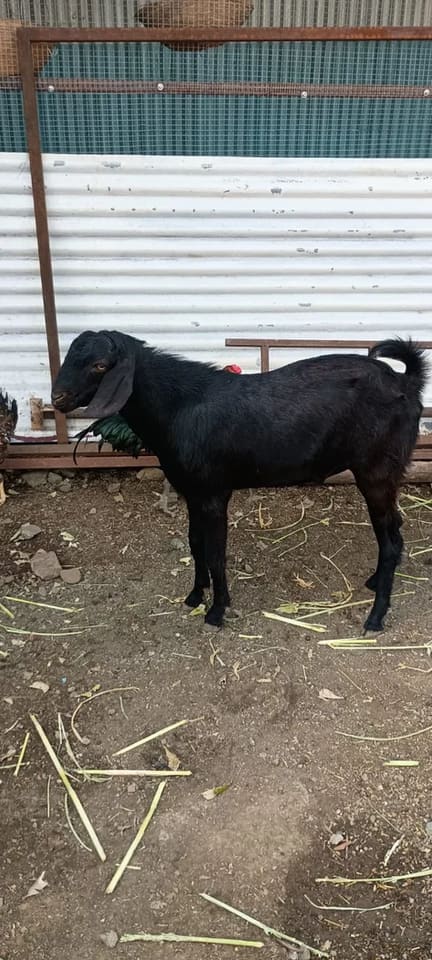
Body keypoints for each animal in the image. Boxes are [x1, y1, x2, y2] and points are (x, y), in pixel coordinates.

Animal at [52, 331, 427, 632]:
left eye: (100, 365)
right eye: (70, 354)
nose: (58, 398)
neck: (179, 407)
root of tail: (406, 383)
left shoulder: (215, 493)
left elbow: (217, 553)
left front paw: (217, 611)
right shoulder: (192, 490)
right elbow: (195, 544)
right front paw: (194, 595)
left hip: (376, 471)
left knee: (391, 540)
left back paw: (375, 617)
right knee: (395, 529)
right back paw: (375, 582)